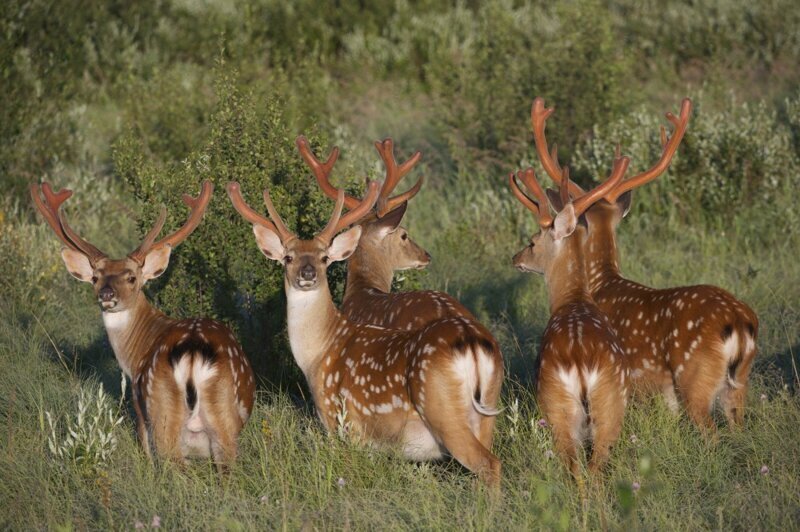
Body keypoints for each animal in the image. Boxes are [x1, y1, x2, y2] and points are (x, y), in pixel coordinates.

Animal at [31, 182, 255, 466]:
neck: (134, 353)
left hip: (160, 408)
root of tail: (193, 351)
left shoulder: (138, 407)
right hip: (224, 414)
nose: (106, 294)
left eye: (131, 277)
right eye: (95, 277)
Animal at [225, 178, 504, 486]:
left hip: (442, 409)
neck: (318, 354)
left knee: (490, 464)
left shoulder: (340, 421)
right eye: (288, 257)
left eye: (324, 257)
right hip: (487, 410)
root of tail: (472, 342)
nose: (308, 273)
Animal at [512, 155, 632, 478]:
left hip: (557, 406)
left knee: (576, 469)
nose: (515, 258)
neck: (573, 300)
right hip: (611, 404)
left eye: (532, 241)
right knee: (595, 468)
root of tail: (581, 364)